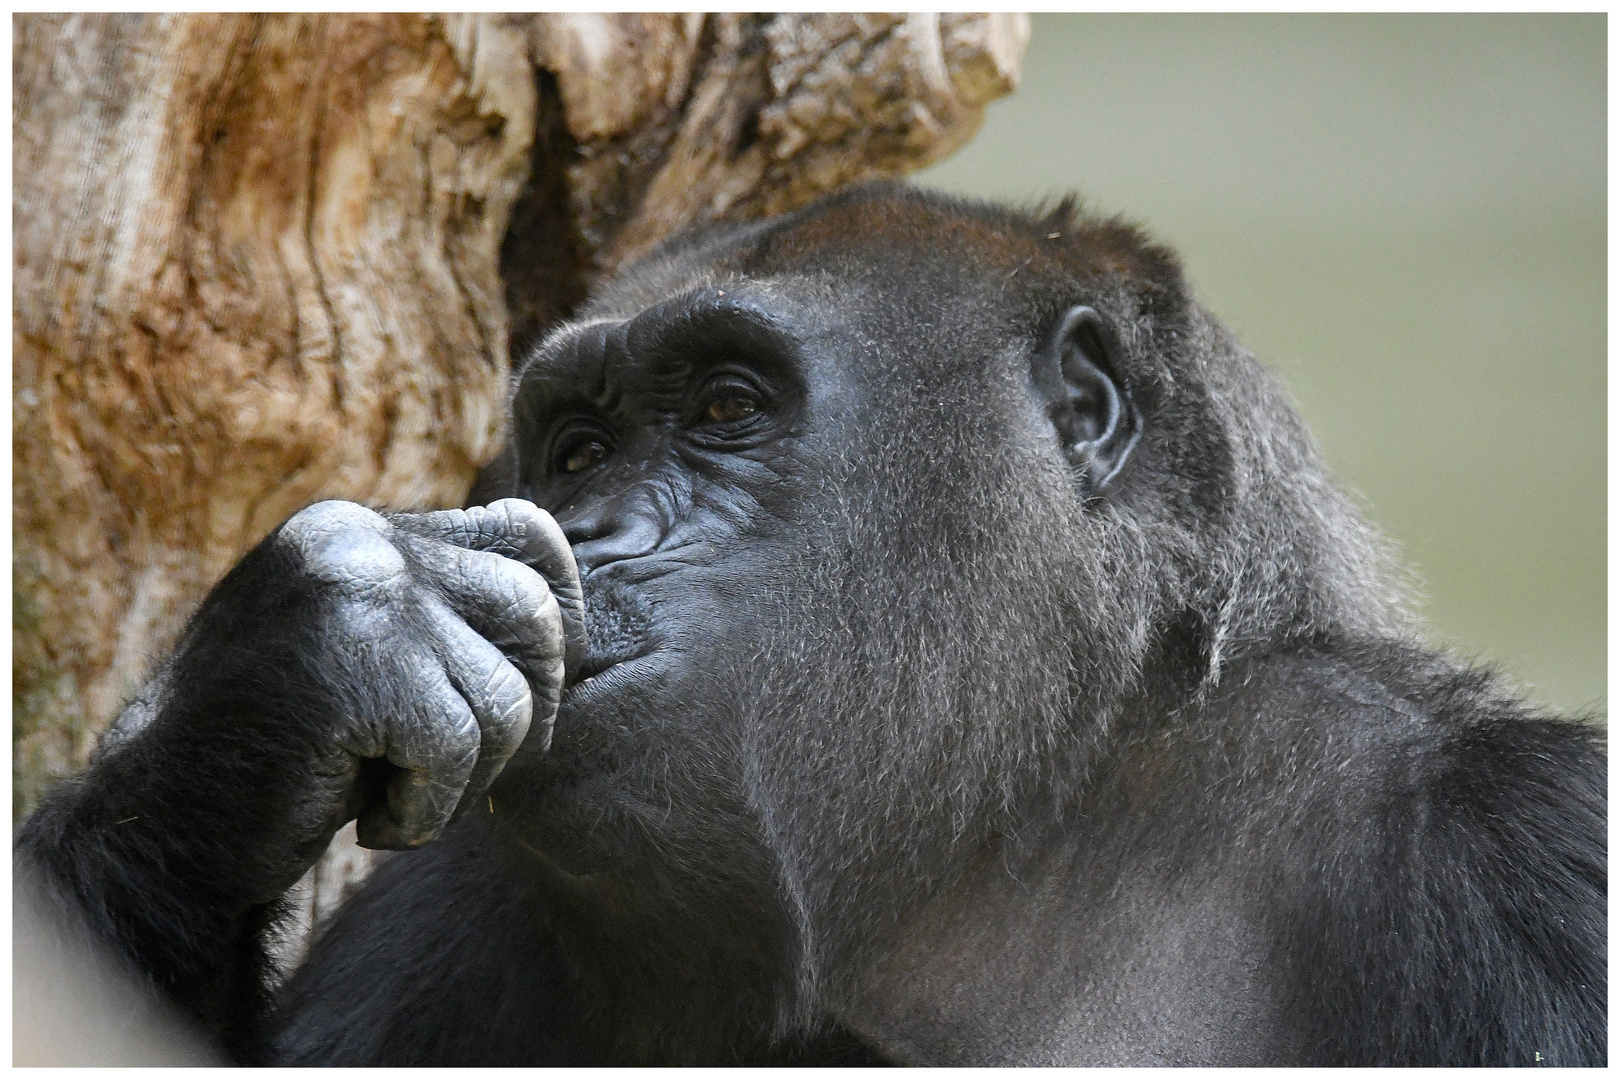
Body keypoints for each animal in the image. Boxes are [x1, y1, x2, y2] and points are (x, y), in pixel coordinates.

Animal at [15, 183, 1607, 1062]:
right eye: (577, 450)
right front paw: (285, 681)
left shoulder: (1519, 851)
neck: (1022, 804)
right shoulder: (445, 908)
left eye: (728, 409)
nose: (595, 538)